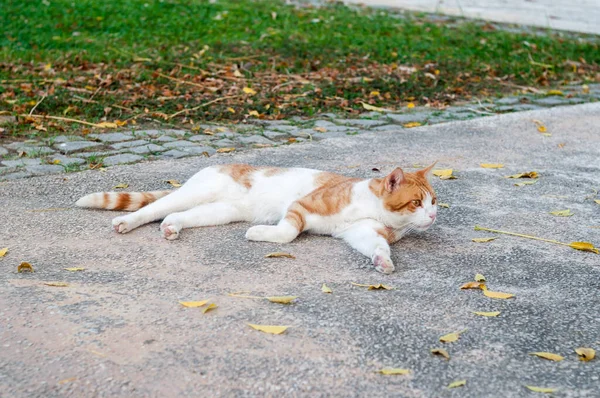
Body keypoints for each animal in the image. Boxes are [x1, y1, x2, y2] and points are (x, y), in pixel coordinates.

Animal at [77, 162, 438, 274]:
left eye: (435, 201)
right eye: (417, 202)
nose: (434, 215)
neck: (373, 206)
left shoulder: (362, 232)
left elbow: (377, 246)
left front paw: (383, 261)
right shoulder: (301, 206)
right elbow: (288, 233)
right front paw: (261, 234)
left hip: (217, 212)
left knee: (178, 215)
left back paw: (172, 227)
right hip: (196, 193)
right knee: (152, 209)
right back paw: (128, 223)